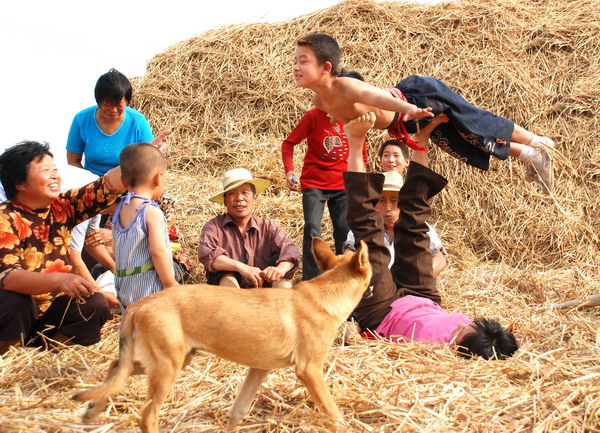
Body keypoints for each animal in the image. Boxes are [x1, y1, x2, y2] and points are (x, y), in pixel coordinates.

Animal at [72, 238, 372, 430]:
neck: (324, 296)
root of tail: (140, 304)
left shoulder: (259, 369)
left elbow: (237, 412)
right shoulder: (309, 370)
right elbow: (334, 413)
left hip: (166, 361)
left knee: (115, 368)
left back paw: (91, 411)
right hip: (167, 367)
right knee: (147, 416)